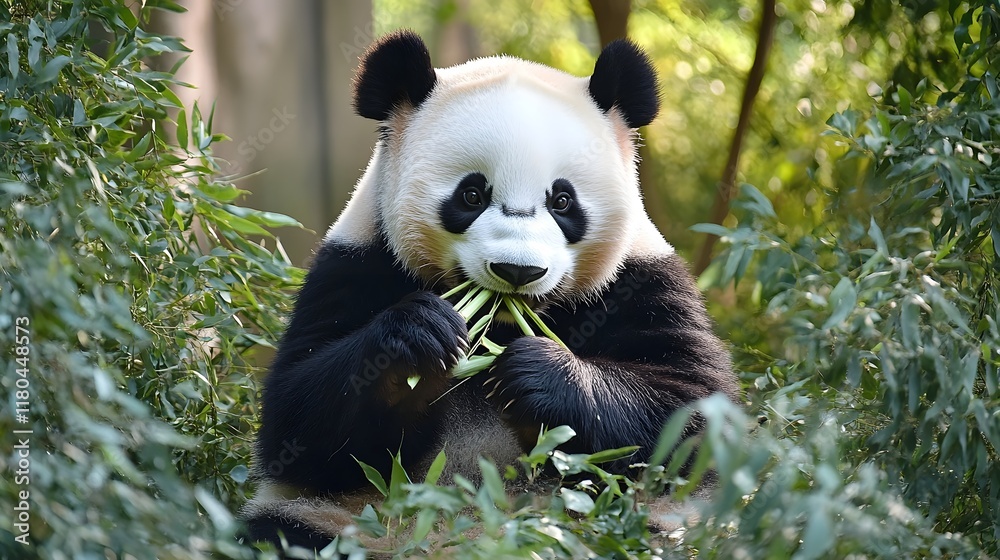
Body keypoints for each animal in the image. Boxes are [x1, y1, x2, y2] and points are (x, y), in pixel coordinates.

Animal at [243, 30, 738, 553]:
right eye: (471, 195)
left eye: (563, 201)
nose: (517, 271)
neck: (500, 326)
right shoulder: (355, 262)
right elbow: (295, 421)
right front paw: (420, 336)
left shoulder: (641, 280)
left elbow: (690, 413)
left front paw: (536, 373)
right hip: (336, 521)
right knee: (281, 533)